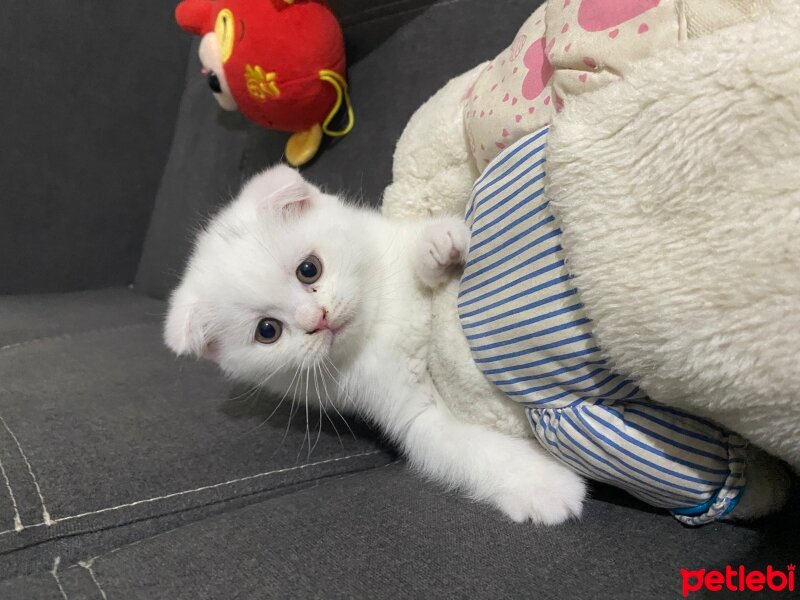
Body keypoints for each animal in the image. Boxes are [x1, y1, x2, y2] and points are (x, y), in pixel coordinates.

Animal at [164, 165, 588, 524]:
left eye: (308, 269)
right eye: (267, 331)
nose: (316, 320)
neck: (378, 327)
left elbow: (414, 248)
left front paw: (439, 244)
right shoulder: (412, 416)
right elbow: (474, 450)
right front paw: (546, 486)